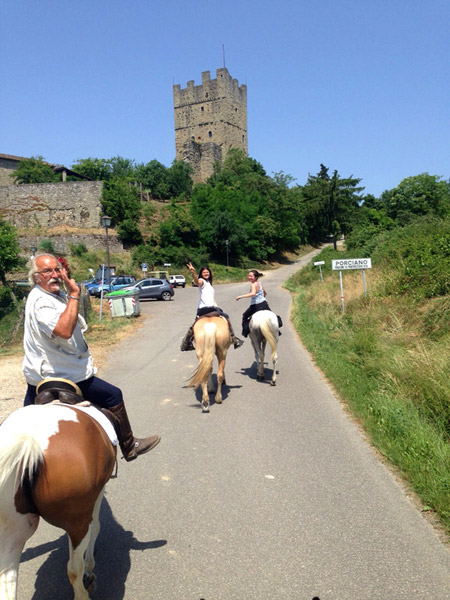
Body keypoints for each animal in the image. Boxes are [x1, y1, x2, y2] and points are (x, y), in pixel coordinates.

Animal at [0, 400, 118, 596]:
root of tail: (29, 441)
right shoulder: (97, 494)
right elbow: (96, 525)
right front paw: (90, 568)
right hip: (77, 524)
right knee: (74, 570)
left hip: (13, 531)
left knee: (7, 577)